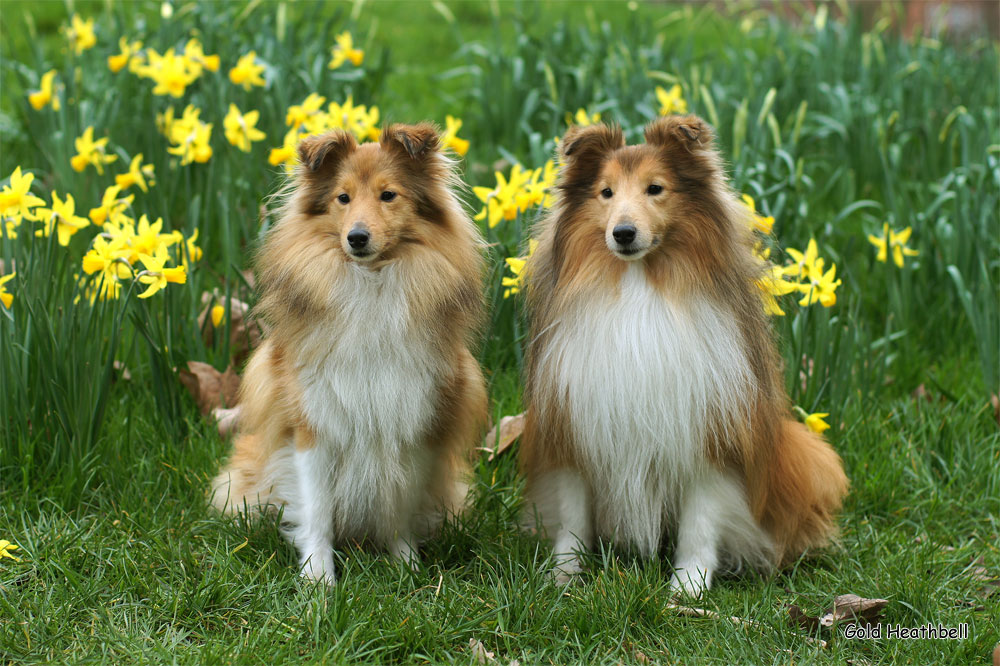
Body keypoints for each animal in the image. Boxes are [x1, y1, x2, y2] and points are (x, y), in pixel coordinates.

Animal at [212, 123, 488, 580]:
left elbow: (399, 504)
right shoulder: (314, 424)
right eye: (342, 198)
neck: (370, 284)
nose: (357, 238)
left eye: (388, 195)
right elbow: (317, 510)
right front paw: (318, 577)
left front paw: (406, 568)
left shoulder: (413, 419)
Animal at [520, 115, 848, 596]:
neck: (639, 292)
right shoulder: (574, 425)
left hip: (803, 450)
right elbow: (572, 514)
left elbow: (701, 519)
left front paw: (688, 585)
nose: (622, 233)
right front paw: (564, 575)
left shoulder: (710, 432)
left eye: (655, 188)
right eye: (606, 192)